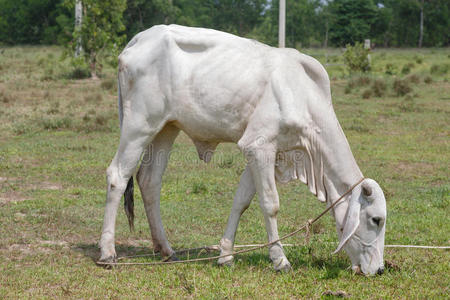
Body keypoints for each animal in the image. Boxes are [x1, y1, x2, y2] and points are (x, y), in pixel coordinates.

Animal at [98, 24, 386, 276]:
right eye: (376, 220)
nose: (380, 269)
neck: (300, 95)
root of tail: (138, 39)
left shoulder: (264, 151)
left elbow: (241, 201)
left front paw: (226, 255)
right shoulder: (259, 145)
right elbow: (270, 203)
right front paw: (280, 259)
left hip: (166, 128)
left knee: (149, 181)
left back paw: (166, 250)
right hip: (139, 126)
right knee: (117, 176)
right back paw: (108, 253)